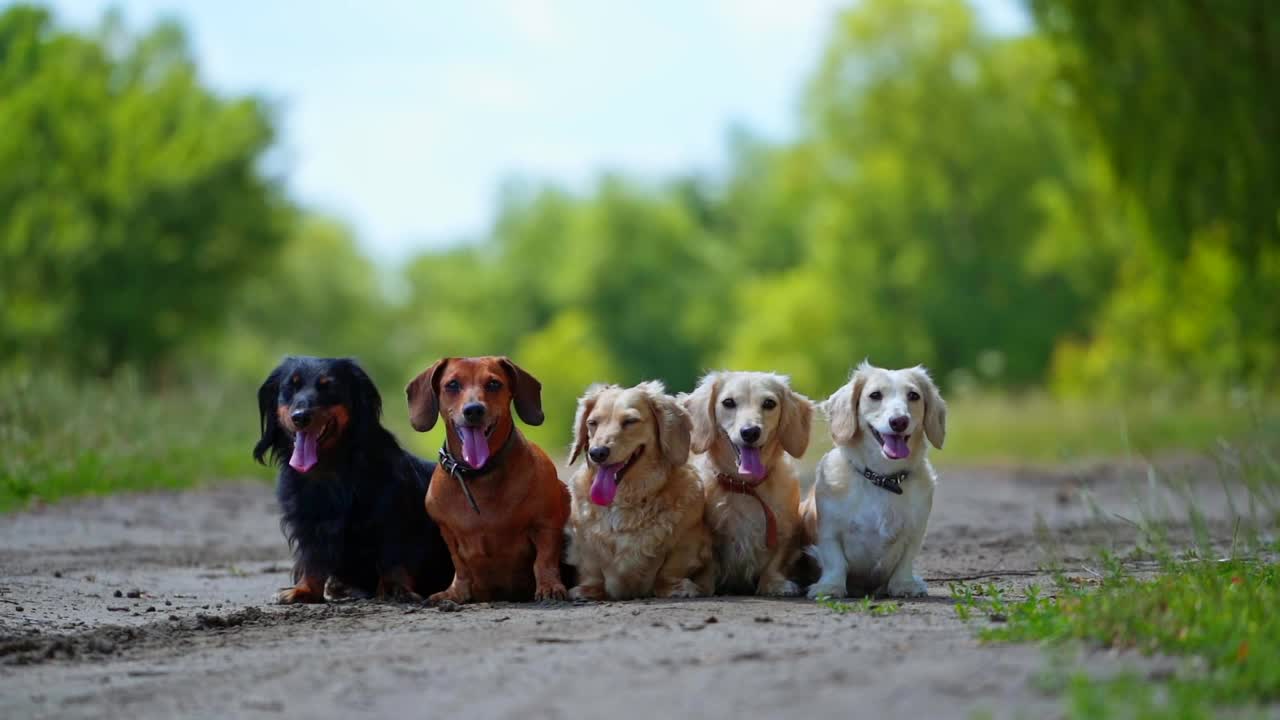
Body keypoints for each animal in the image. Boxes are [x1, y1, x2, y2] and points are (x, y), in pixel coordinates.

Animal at [252, 356, 453, 599]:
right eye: (291, 386)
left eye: (328, 386)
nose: (300, 417)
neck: (328, 470)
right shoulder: (308, 525)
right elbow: (312, 559)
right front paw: (304, 589)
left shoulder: (392, 517)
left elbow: (393, 556)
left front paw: (395, 589)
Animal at [565, 381, 716, 599]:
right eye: (592, 423)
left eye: (630, 421)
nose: (597, 453)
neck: (626, 498)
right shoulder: (584, 544)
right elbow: (591, 569)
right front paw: (588, 590)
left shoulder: (688, 540)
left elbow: (670, 568)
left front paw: (675, 587)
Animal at [686, 368, 814, 594]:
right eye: (728, 402)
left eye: (769, 403)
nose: (750, 432)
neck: (745, 486)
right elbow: (707, 564)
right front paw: (703, 587)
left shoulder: (786, 529)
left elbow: (775, 560)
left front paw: (773, 583)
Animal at [803, 361, 947, 597]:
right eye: (875, 395)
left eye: (914, 395)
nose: (899, 421)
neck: (882, 478)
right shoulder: (828, 530)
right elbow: (835, 561)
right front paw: (830, 586)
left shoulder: (915, 531)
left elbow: (905, 562)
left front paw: (905, 585)